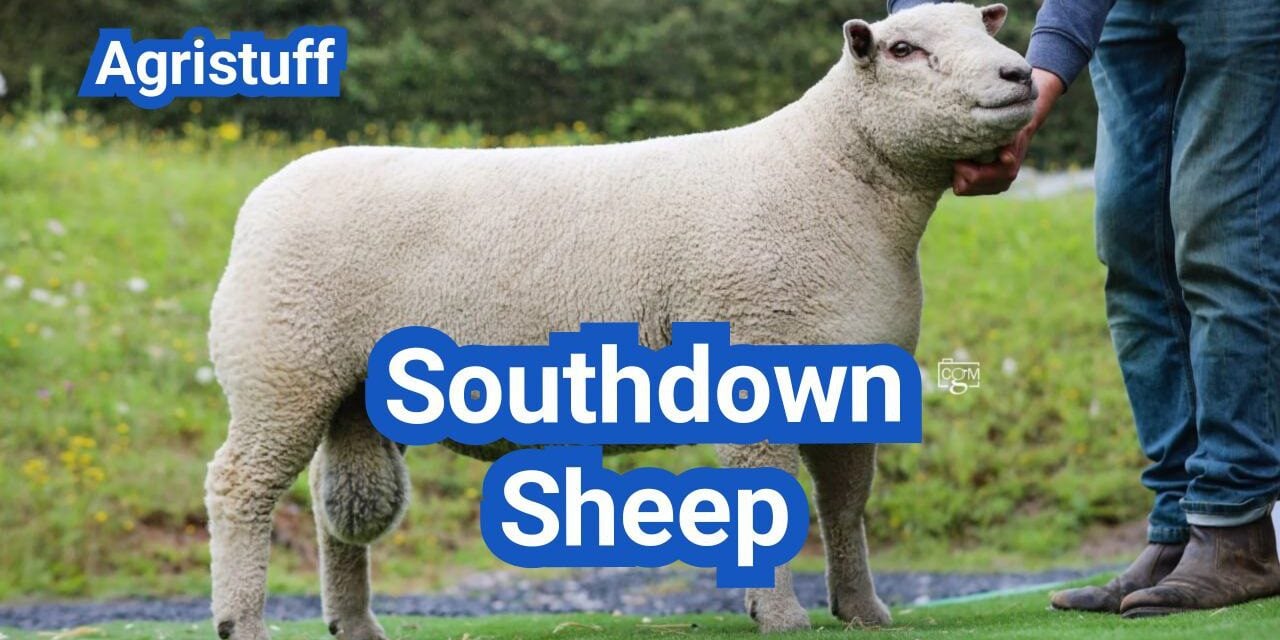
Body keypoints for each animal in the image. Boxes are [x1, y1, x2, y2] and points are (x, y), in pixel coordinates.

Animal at [204, 3, 1034, 638]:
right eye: (903, 49)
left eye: (985, 25)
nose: (1020, 75)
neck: (833, 181)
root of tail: (261, 199)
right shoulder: (755, 352)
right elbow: (770, 501)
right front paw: (780, 616)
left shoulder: (850, 377)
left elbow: (844, 505)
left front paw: (862, 611)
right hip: (282, 366)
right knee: (240, 488)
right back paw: (243, 622)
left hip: (345, 390)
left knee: (328, 510)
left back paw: (354, 624)